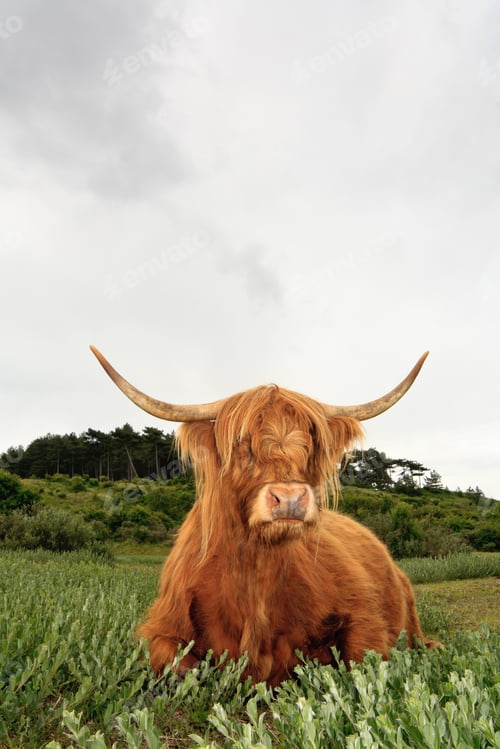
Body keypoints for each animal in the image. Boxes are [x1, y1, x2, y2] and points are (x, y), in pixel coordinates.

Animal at [90, 346, 437, 685]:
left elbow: (363, 659)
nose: (290, 498)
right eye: (241, 442)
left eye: (310, 441)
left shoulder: (363, 616)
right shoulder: (164, 625)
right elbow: (179, 665)